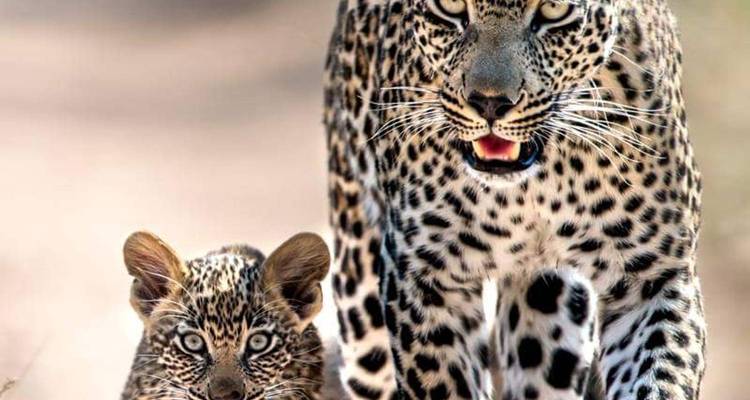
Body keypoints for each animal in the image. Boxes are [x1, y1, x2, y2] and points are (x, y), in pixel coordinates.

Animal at [324, 0, 705, 399]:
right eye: (451, 7)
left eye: (553, 12)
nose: (488, 103)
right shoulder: (426, 275)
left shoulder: (655, 277)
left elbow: (659, 377)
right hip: (360, 314)